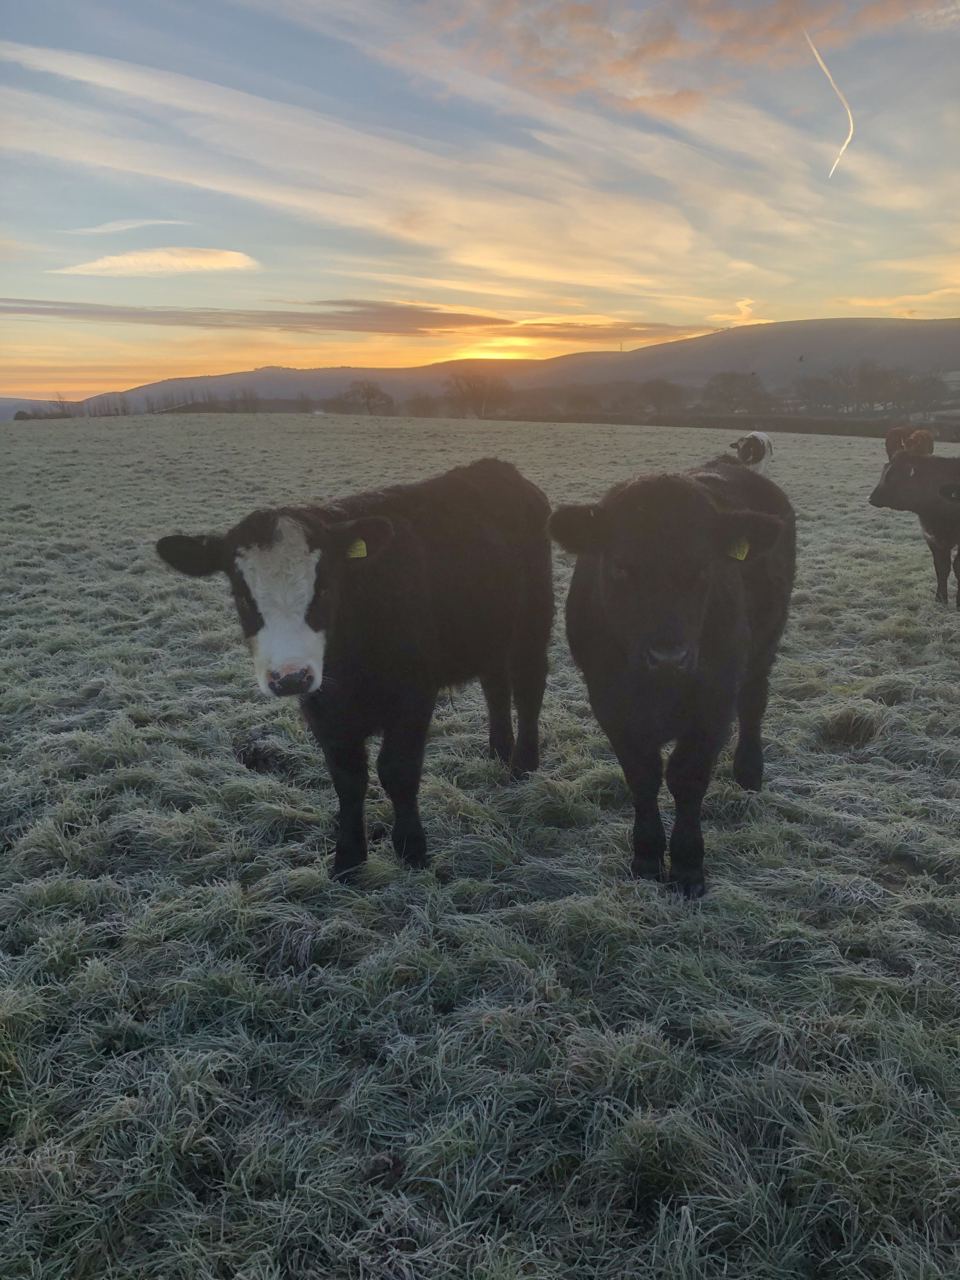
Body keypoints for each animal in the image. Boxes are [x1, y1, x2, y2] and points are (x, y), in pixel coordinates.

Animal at [156, 459, 553, 876]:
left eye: (326, 587)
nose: (290, 676)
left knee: (529, 686)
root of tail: (495, 468)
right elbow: (347, 778)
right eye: (243, 595)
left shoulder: (414, 694)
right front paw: (347, 858)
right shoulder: (322, 707)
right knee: (495, 685)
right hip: (489, 630)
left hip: (532, 620)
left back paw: (522, 765)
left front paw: (411, 848)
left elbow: (397, 770)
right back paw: (498, 749)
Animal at [550, 458, 795, 898]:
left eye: (704, 566)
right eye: (620, 566)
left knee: (754, 704)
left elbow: (687, 777)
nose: (668, 656)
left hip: (764, 647)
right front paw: (647, 857)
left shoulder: (714, 703)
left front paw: (687, 865)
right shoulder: (610, 703)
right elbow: (643, 777)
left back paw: (749, 772)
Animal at [869, 451, 960, 607]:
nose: (871, 498)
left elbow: (957, 567)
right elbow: (941, 568)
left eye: (892, 475)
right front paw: (940, 599)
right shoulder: (932, 538)